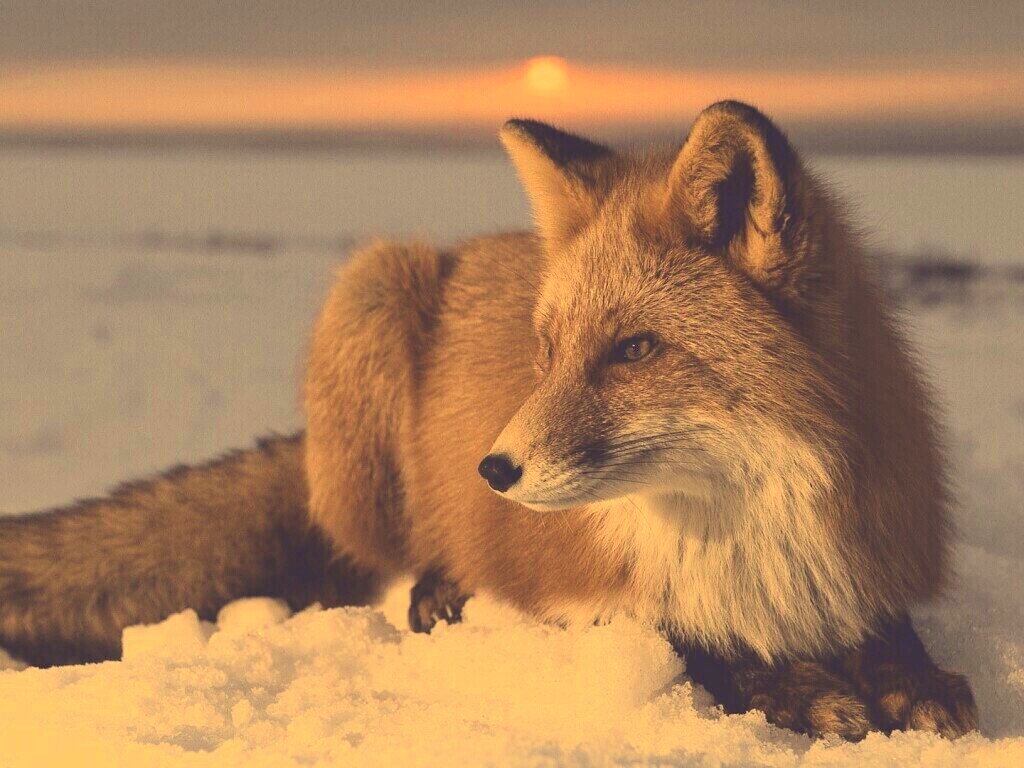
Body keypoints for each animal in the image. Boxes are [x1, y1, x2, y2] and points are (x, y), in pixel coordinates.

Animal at [0, 101, 977, 740]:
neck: (747, 534)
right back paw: (438, 589)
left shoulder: (866, 555)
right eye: (546, 351)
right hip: (371, 295)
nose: (492, 471)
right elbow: (689, 640)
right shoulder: (574, 586)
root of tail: (473, 245)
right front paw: (799, 689)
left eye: (635, 349)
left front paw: (911, 680)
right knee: (393, 556)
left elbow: (890, 632)